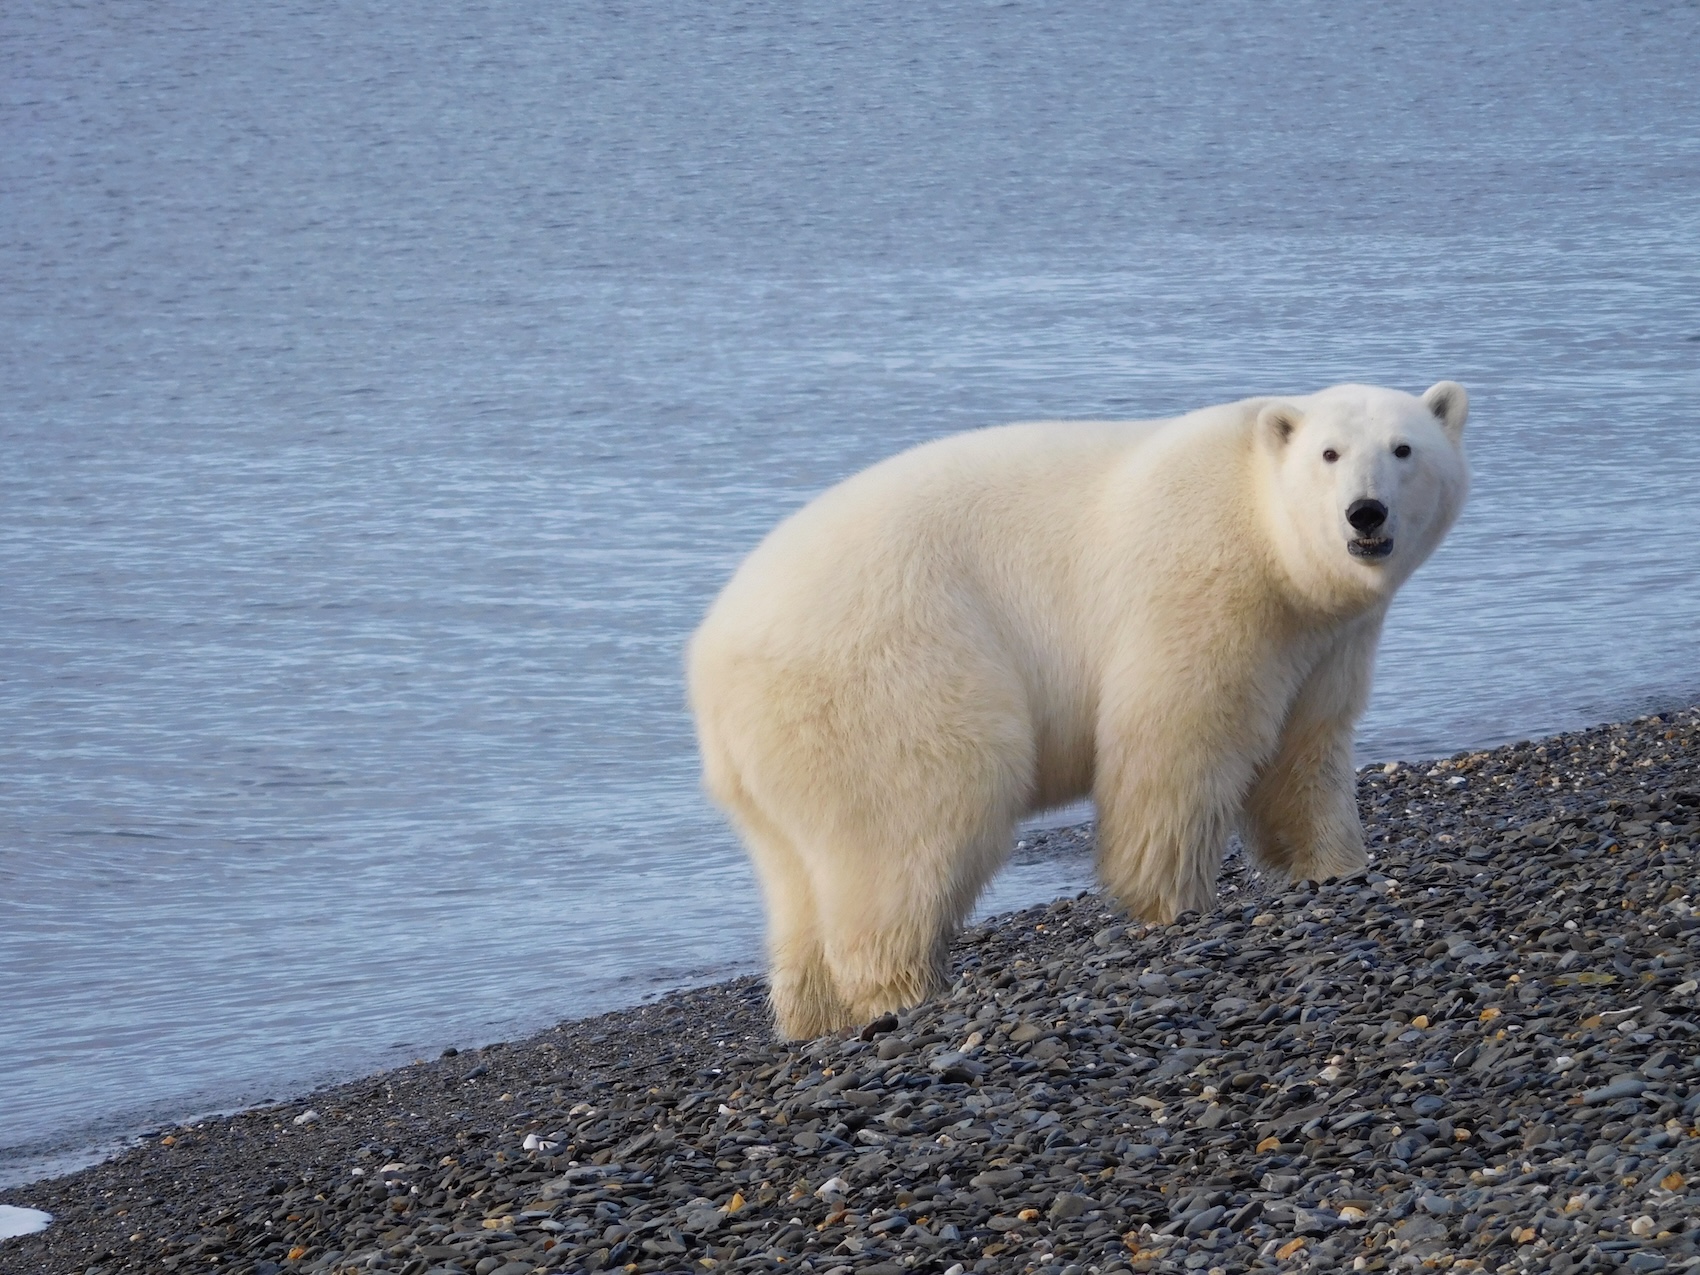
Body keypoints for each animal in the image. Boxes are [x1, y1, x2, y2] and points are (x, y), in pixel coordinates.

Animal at [688, 382, 1470, 1038]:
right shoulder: (1202, 586)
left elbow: (1305, 750)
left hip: (776, 757)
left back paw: (814, 1014)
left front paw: (1335, 867)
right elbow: (1177, 737)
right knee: (922, 813)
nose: (1365, 512)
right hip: (889, 672)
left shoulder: (1324, 640)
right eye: (1329, 453)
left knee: (799, 876)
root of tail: (708, 658)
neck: (1269, 539)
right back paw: (905, 989)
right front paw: (1174, 902)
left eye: (1403, 449)